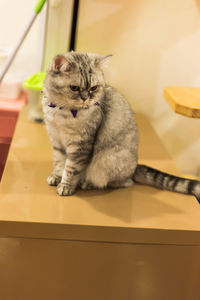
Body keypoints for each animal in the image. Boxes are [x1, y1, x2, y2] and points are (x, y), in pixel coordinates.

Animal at [42, 52, 200, 204]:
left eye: (93, 88)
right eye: (74, 88)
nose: (86, 98)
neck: (61, 111)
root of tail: (135, 167)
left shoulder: (80, 146)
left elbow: (71, 168)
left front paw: (66, 186)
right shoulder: (56, 140)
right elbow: (59, 162)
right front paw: (57, 176)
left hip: (106, 160)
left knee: (123, 182)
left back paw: (88, 183)